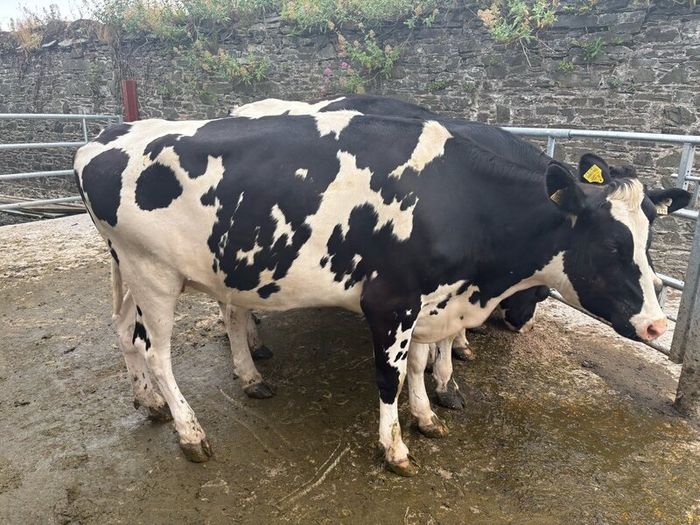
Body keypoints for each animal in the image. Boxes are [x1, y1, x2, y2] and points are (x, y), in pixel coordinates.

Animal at [74, 111, 688, 476]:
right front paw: (394, 448)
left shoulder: (432, 301)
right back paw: (190, 432)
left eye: (649, 237)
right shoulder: (391, 302)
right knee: (157, 351)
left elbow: (417, 364)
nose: (658, 325)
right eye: (611, 245)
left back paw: (152, 402)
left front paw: (427, 414)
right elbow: (389, 374)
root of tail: (101, 140)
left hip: (134, 271)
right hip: (153, 274)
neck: (459, 199)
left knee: (126, 334)